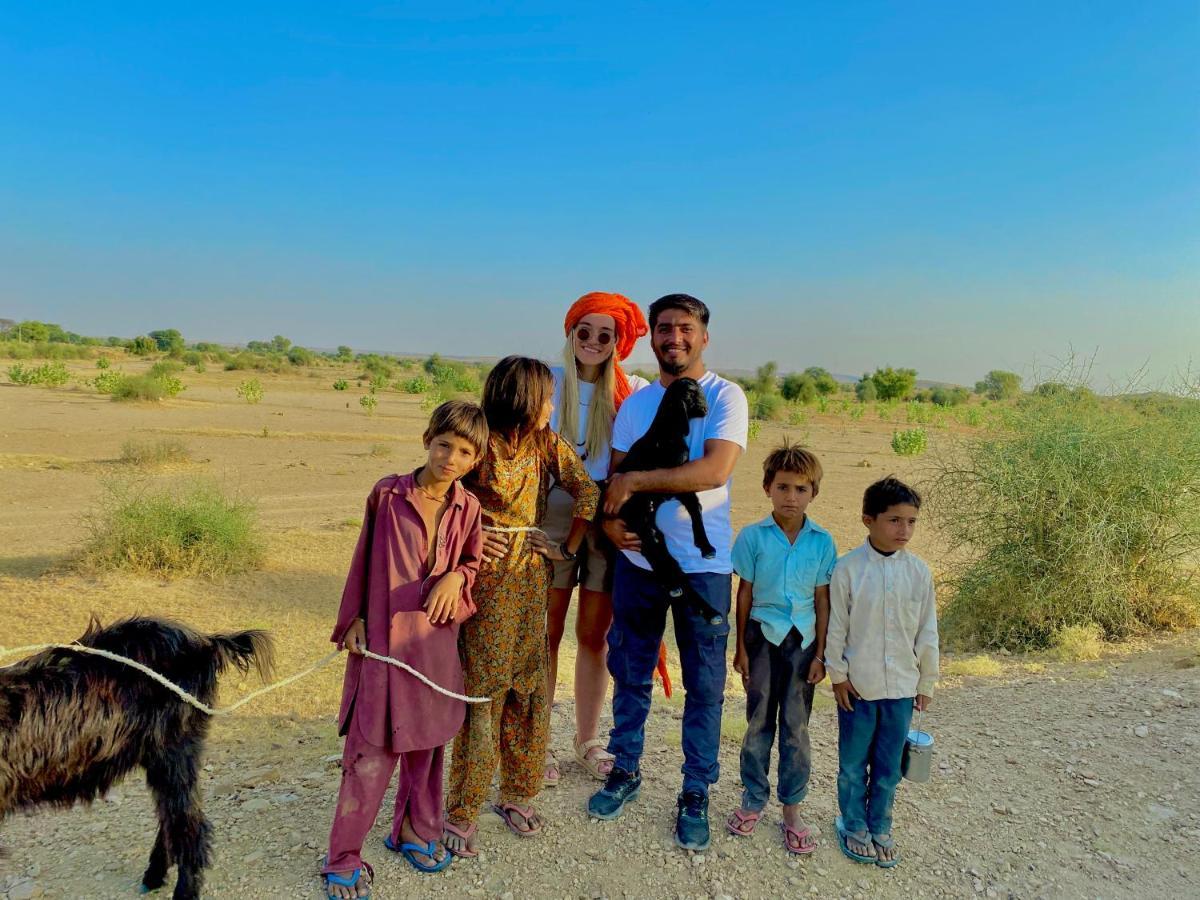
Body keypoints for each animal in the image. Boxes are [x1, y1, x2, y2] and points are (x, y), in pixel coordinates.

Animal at [0, 619, 274, 900]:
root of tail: (205, 643)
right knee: (170, 818)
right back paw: (153, 876)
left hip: (173, 749)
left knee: (188, 824)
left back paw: (183, 891)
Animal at [614, 376, 715, 624]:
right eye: (692, 394)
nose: (706, 408)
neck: (666, 432)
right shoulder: (668, 476)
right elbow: (692, 504)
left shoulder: (679, 479)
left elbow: (695, 506)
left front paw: (706, 545)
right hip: (641, 524)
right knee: (659, 556)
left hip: (649, 530)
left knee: (664, 560)